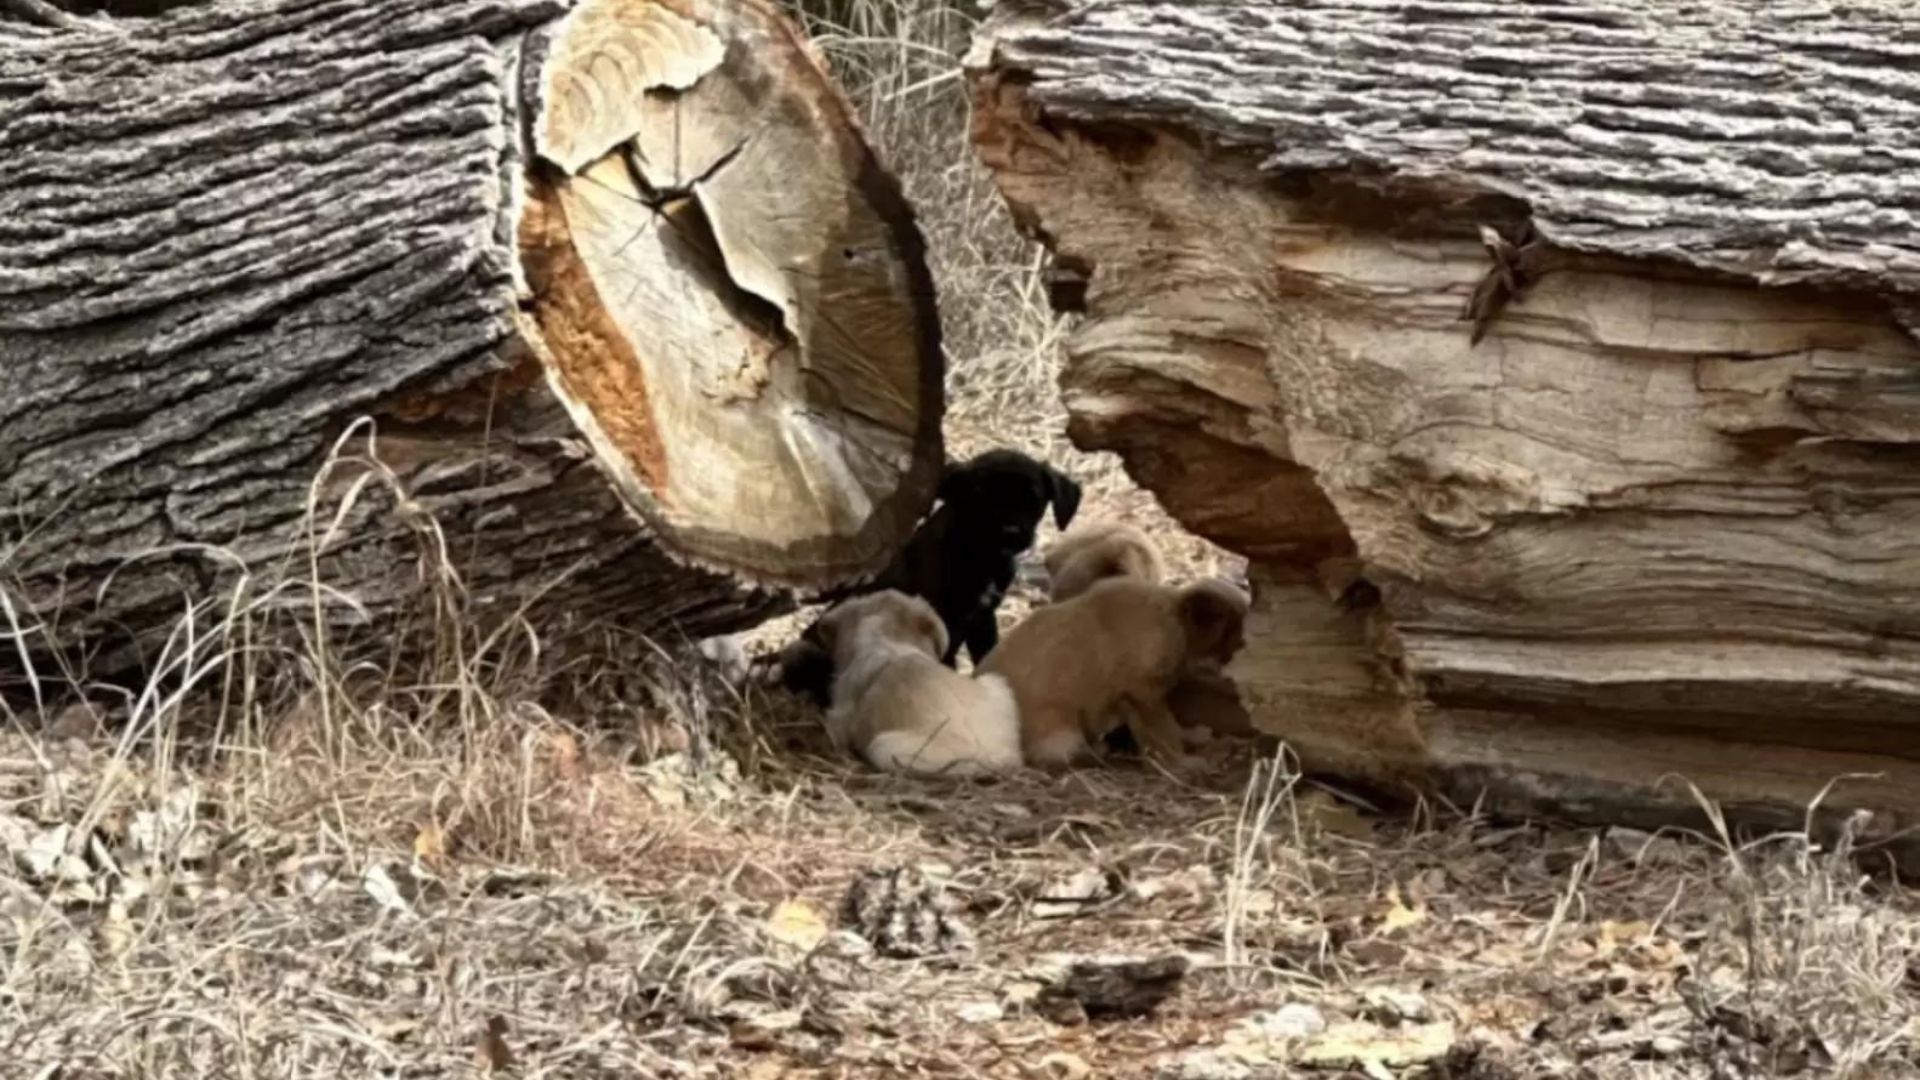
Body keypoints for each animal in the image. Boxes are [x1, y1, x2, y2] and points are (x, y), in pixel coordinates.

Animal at [779, 449, 1082, 703]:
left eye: (1034, 499)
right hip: (804, 650)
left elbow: (986, 654)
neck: (979, 554)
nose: (1010, 533)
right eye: (978, 496)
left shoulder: (982, 618)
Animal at [983, 572, 1251, 764]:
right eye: (1234, 632)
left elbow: (1171, 726)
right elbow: (1164, 733)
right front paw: (1184, 762)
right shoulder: (1142, 696)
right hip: (1062, 732)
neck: (1173, 617)